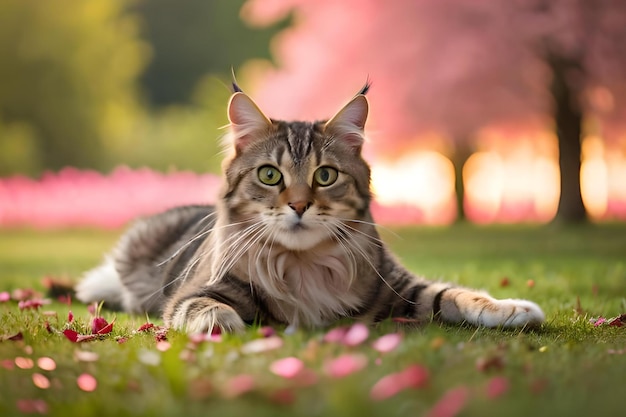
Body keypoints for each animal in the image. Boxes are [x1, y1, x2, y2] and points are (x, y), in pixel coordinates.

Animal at [73, 83, 544, 334]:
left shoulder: (399, 285)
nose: (299, 204)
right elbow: (204, 307)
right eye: (269, 175)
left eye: (325, 176)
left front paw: (512, 308)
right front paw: (223, 326)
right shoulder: (197, 291)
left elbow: (457, 294)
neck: (304, 265)